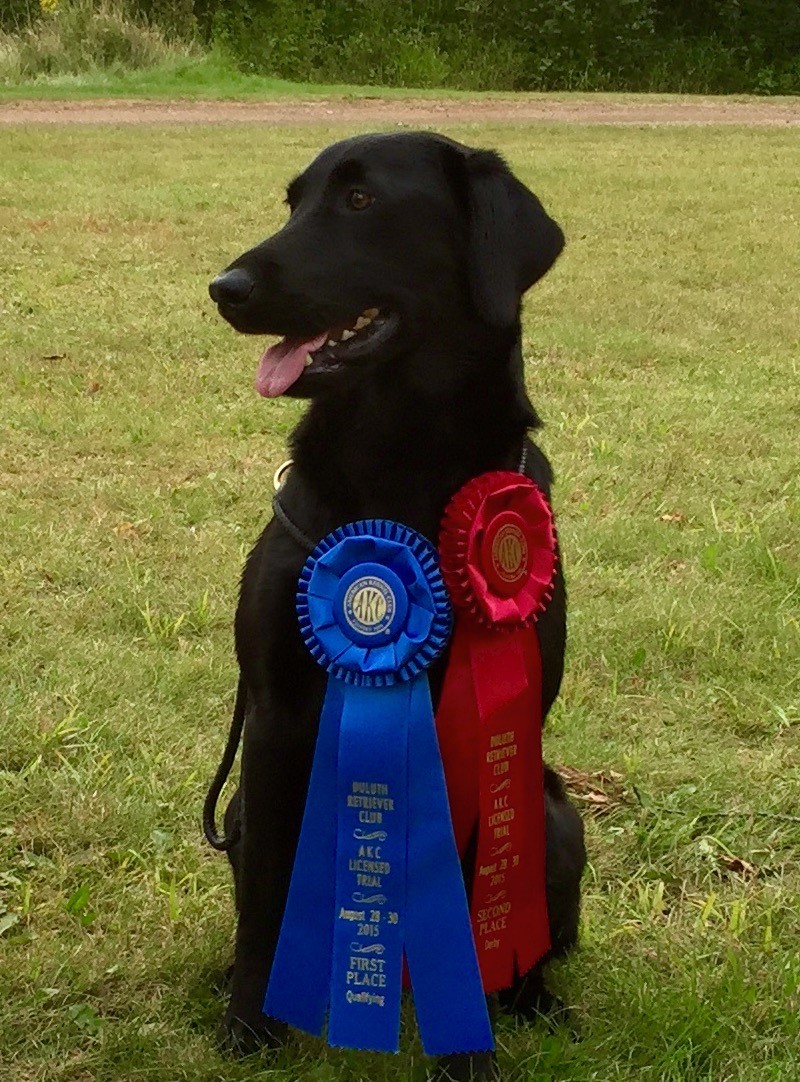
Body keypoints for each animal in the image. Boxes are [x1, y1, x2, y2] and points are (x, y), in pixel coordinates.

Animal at [204, 130, 580, 1077]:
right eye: (293, 200)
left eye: (361, 200)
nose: (224, 288)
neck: (402, 462)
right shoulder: (274, 717)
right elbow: (267, 898)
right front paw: (250, 1023)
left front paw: (469, 1051)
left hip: (556, 815)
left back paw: (532, 999)